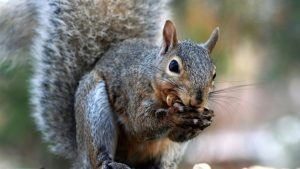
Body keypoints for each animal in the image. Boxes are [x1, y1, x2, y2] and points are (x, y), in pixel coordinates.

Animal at [1, 0, 219, 169]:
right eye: (173, 66)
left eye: (214, 73)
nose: (198, 100)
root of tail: (80, 155)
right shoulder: (133, 91)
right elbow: (141, 125)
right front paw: (174, 116)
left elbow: (175, 136)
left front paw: (203, 119)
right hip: (95, 113)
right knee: (98, 156)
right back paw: (108, 162)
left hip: (170, 152)